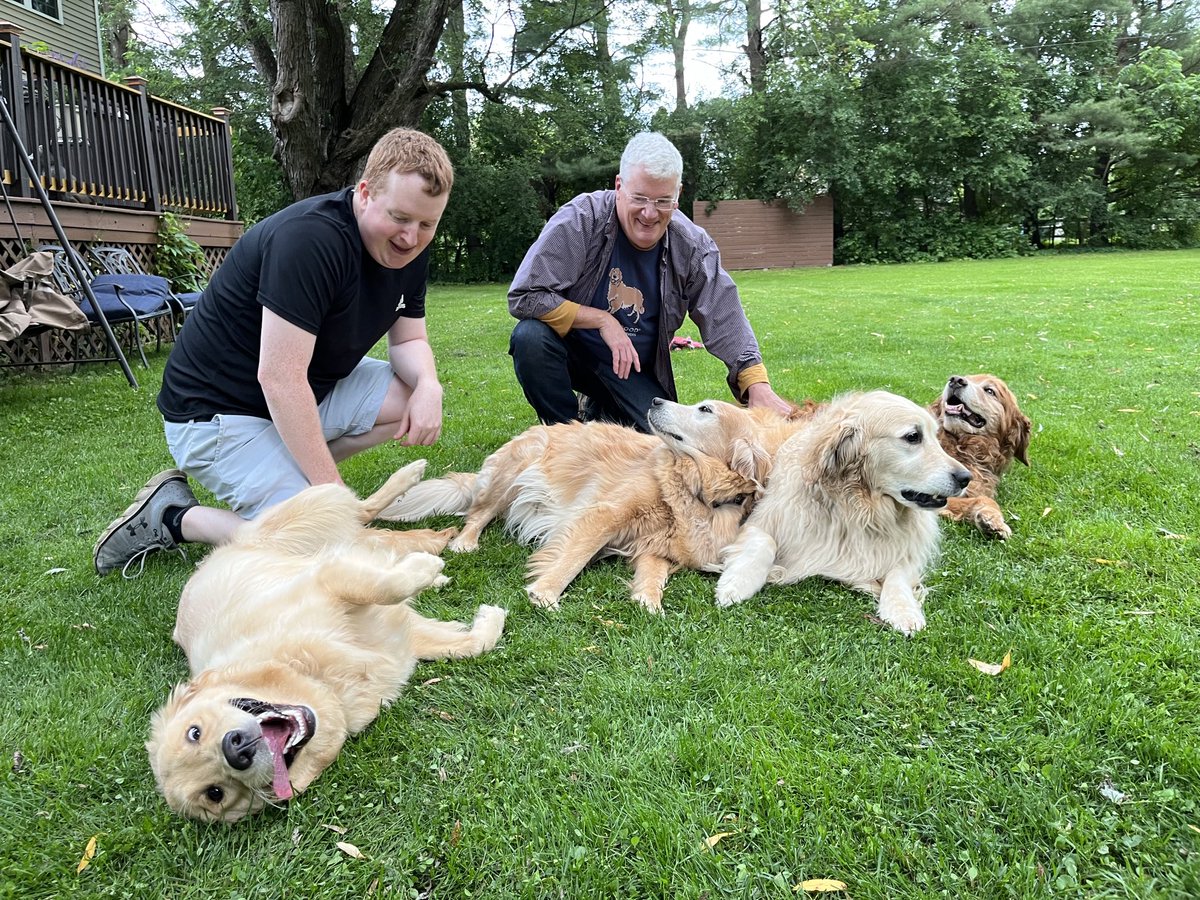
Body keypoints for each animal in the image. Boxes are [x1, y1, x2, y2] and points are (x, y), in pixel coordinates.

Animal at [147, 465, 504, 825]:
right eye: (216, 793)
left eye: (194, 732)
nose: (236, 749)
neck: (321, 681)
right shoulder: (402, 641)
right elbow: (473, 643)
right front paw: (488, 616)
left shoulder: (328, 580)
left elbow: (386, 585)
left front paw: (426, 569)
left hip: (307, 512)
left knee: (362, 510)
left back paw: (411, 485)